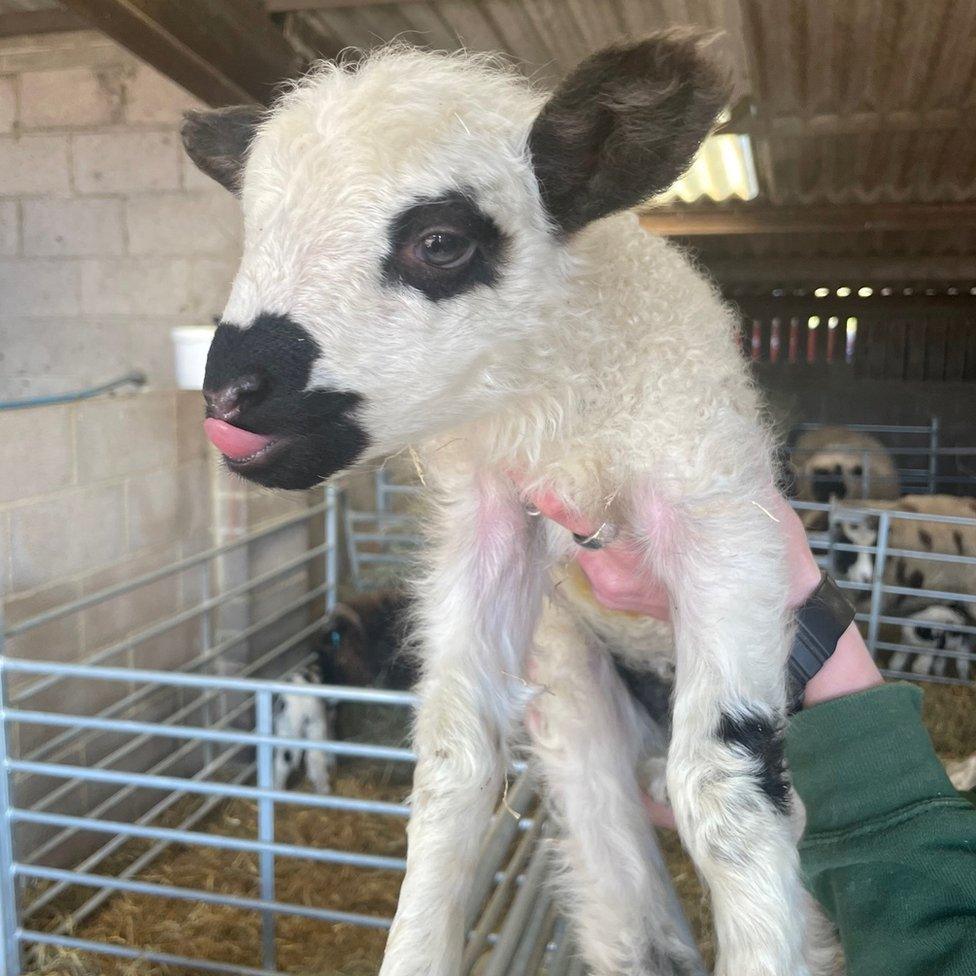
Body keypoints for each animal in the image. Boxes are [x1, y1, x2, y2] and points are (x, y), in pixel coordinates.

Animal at [185, 34, 840, 972]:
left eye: (440, 242)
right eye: (254, 230)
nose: (229, 394)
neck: (565, 419)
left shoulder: (719, 510)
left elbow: (730, 794)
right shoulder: (490, 521)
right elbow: (454, 766)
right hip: (574, 680)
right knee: (622, 894)